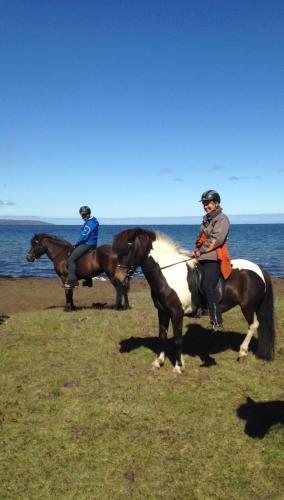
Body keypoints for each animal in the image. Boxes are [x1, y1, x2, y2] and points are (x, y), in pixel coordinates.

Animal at [112, 229, 276, 374]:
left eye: (129, 246)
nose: (118, 277)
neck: (168, 274)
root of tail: (259, 270)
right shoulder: (162, 312)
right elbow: (162, 336)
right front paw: (158, 362)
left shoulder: (176, 313)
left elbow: (178, 339)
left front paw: (179, 367)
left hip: (248, 307)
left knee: (253, 325)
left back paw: (242, 353)